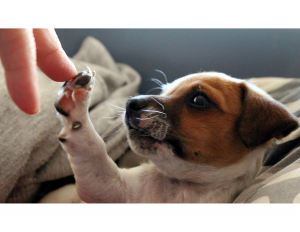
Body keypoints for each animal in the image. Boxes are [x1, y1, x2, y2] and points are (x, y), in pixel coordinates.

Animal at [42, 68, 298, 203]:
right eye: (164, 91)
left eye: (199, 100)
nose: (130, 103)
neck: (183, 186)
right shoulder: (106, 187)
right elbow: (92, 146)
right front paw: (75, 100)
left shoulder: (101, 187)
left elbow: (91, 145)